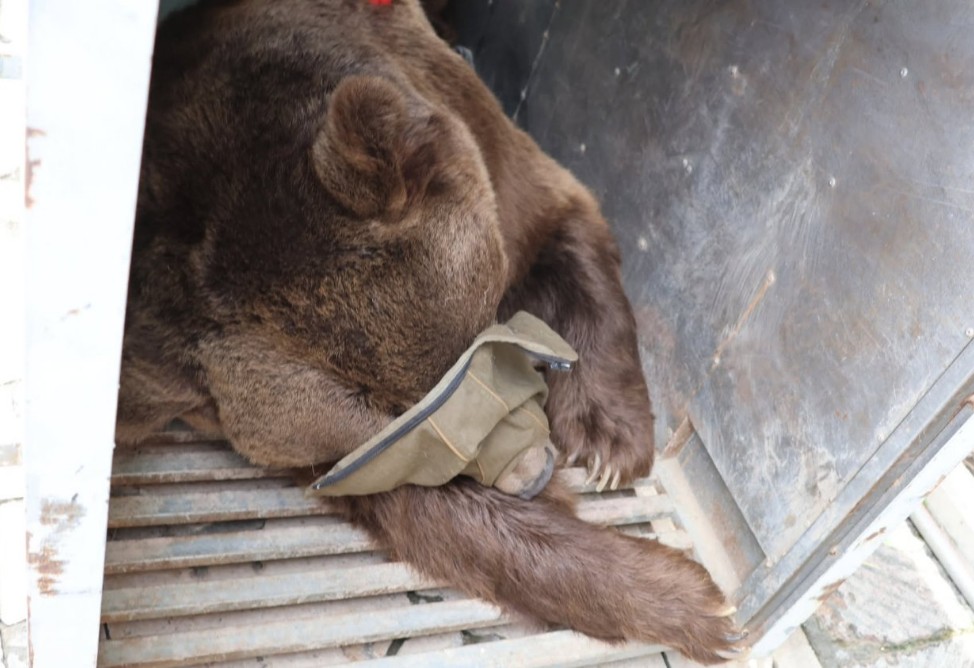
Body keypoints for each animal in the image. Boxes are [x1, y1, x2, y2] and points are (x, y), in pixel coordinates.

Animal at [115, 0, 741, 662]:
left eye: (481, 346)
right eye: (395, 426)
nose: (534, 472)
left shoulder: (485, 152)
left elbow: (566, 228)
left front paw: (606, 445)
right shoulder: (314, 449)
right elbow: (434, 510)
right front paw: (685, 603)